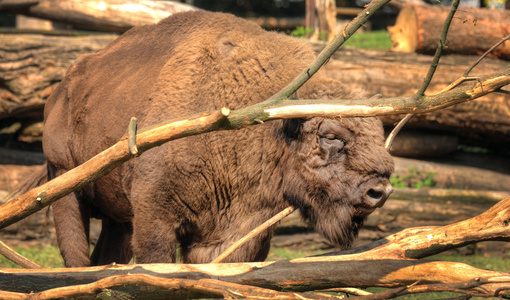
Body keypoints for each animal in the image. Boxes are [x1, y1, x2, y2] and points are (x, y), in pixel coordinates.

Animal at [34, 10, 394, 266]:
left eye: (379, 133)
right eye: (330, 135)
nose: (380, 191)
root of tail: (61, 91)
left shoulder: (233, 235)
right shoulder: (155, 219)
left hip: (117, 218)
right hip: (64, 182)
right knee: (76, 255)